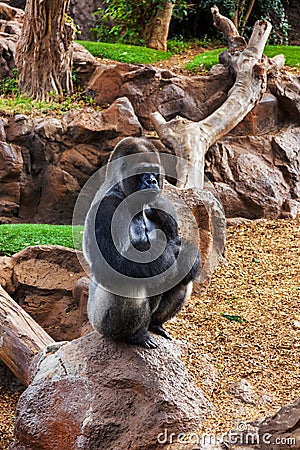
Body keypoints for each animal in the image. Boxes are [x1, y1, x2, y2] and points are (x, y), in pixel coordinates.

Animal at [83, 136, 200, 348]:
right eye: (142, 171)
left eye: (154, 171)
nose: (152, 180)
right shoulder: (105, 209)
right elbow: (113, 264)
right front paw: (168, 253)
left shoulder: (161, 205)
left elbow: (180, 253)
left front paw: (184, 254)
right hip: (98, 323)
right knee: (127, 281)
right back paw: (134, 336)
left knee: (182, 278)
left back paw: (155, 325)